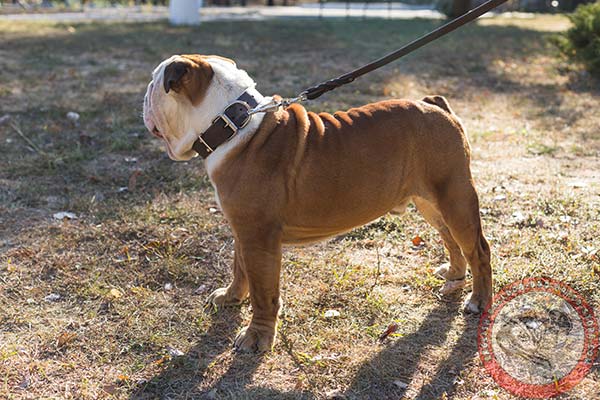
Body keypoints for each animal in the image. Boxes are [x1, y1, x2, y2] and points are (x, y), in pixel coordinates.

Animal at [144, 54, 492, 354]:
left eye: (152, 84)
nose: (144, 98)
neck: (233, 123)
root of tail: (433, 104)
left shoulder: (258, 238)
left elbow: (263, 292)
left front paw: (257, 336)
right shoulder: (243, 231)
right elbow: (239, 268)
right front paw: (231, 297)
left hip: (455, 198)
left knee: (479, 249)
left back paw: (479, 301)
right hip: (431, 202)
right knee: (450, 239)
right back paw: (454, 275)